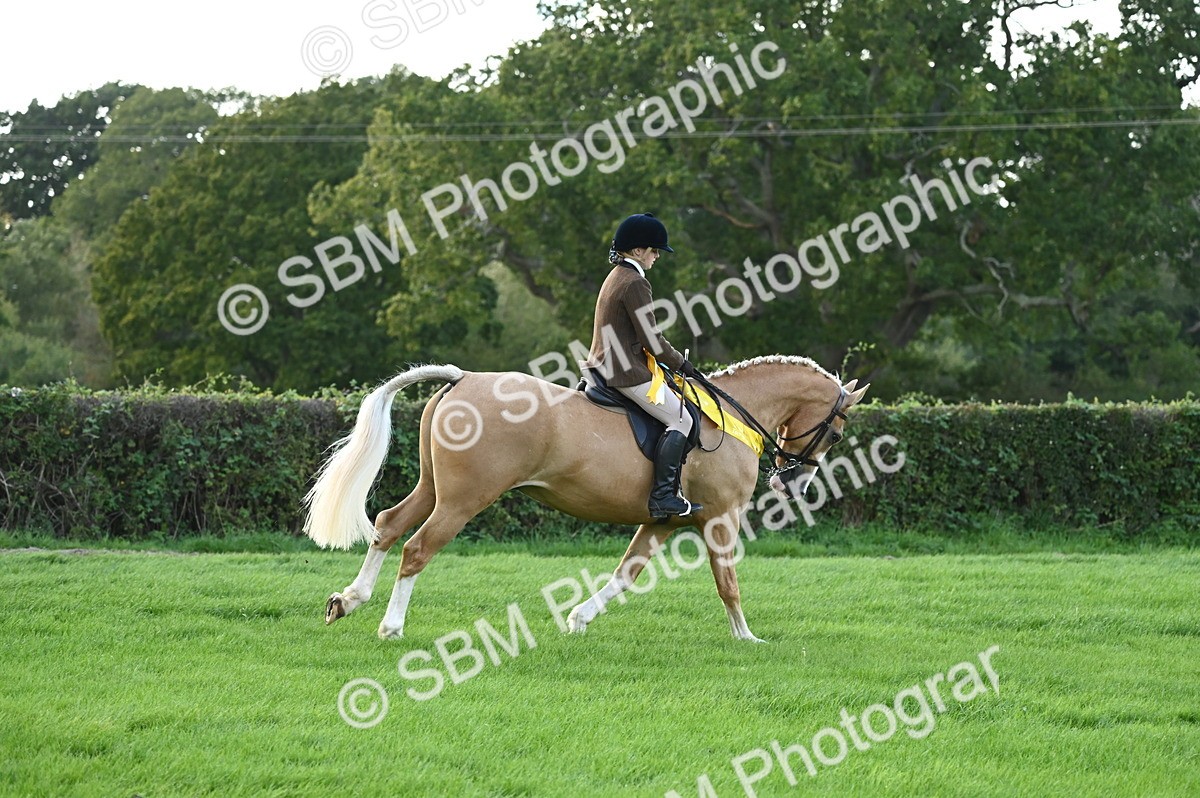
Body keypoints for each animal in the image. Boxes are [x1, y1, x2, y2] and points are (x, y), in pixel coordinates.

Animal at [303, 356, 869, 642]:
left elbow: (626, 574)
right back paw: (391, 626)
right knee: (417, 549)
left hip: (433, 490)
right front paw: (747, 638)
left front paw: (578, 618)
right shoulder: (721, 519)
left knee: (388, 524)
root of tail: (464, 379)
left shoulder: (662, 521)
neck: (729, 418)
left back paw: (348, 601)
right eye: (837, 433)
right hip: (463, 500)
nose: (794, 483)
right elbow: (727, 583)